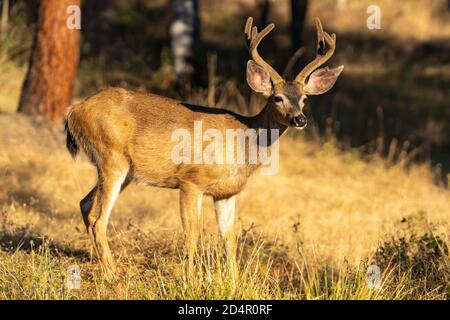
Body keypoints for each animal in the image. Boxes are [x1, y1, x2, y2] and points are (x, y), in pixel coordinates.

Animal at [65, 16, 342, 278]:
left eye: (304, 99)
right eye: (277, 98)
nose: (300, 119)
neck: (243, 139)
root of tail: (74, 110)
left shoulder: (226, 193)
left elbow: (229, 239)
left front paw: (233, 282)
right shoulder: (191, 180)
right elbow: (192, 234)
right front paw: (191, 279)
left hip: (125, 171)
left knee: (85, 204)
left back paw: (99, 262)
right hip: (112, 158)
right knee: (98, 217)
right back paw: (113, 273)